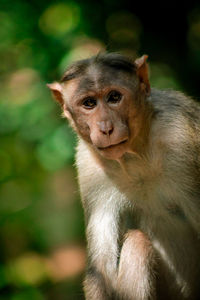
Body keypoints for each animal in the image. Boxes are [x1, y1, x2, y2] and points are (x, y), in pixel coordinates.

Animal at [47, 52, 200, 298]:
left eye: (114, 97)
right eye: (89, 103)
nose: (105, 128)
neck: (135, 155)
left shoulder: (181, 137)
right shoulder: (89, 167)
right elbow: (101, 269)